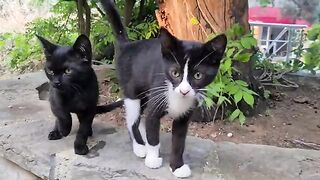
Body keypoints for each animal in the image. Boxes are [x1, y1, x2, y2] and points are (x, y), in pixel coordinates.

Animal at [100, 0, 228, 177]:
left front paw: (177, 166)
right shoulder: (157, 97)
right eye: (175, 73)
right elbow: (153, 129)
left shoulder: (184, 116)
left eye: (198, 75)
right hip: (133, 91)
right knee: (133, 119)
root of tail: (127, 45)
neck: (176, 96)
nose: (184, 91)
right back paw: (140, 146)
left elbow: (179, 142)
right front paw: (153, 159)